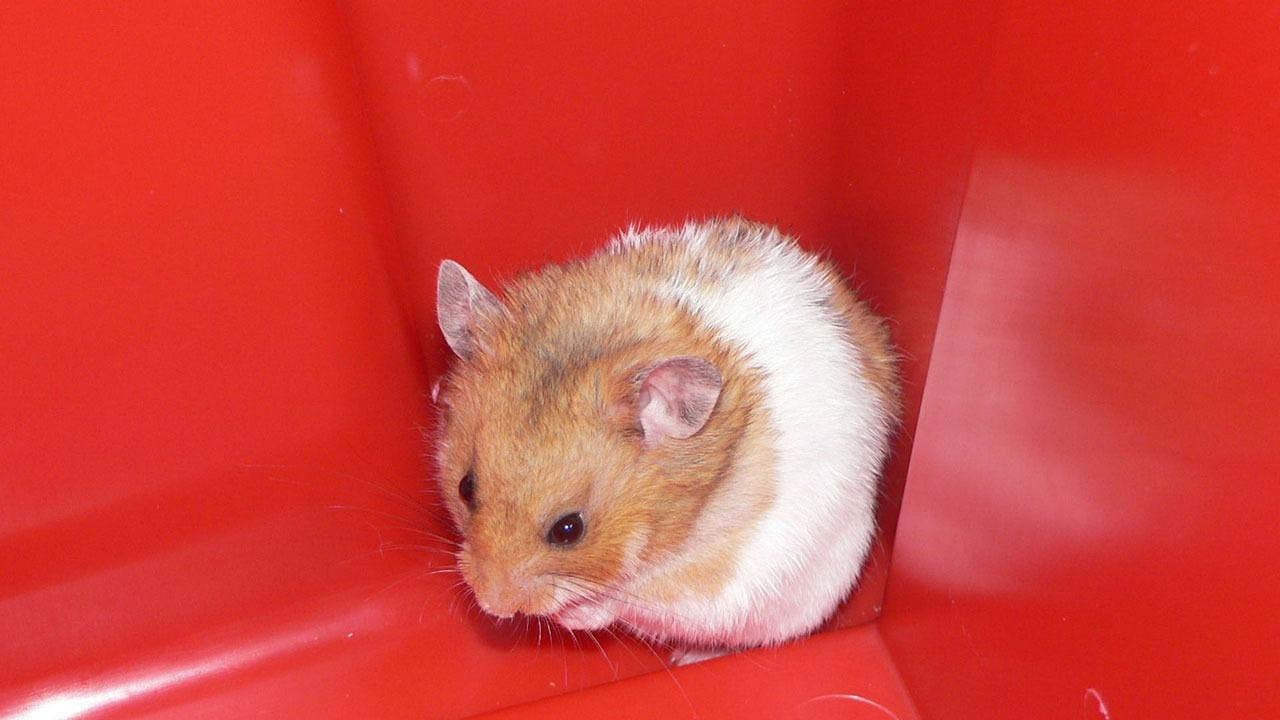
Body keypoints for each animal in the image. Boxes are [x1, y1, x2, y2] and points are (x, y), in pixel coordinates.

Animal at [431, 217, 900, 655]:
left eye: (569, 529)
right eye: (466, 487)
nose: (492, 605)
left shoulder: (712, 582)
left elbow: (629, 602)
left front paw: (573, 615)